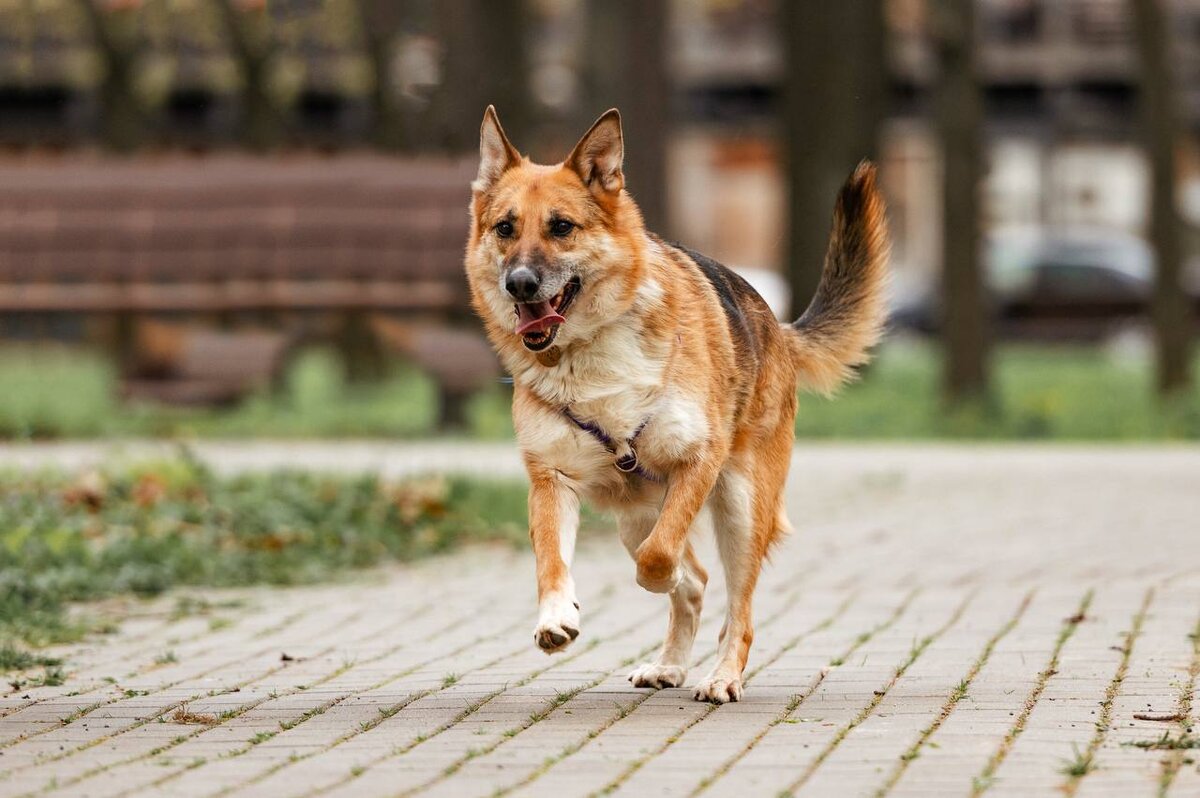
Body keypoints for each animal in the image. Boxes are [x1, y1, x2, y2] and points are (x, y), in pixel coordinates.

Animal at [463, 107, 888, 705]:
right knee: (698, 581)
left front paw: (657, 579)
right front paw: (556, 617)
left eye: (561, 227)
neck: (590, 358)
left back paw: (722, 676)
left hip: (740, 507)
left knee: (737, 608)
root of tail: (777, 327)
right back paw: (669, 665)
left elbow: (661, 558)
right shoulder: (551, 480)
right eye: (505, 228)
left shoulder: (697, 462)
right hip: (634, 516)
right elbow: (551, 560)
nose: (519, 284)